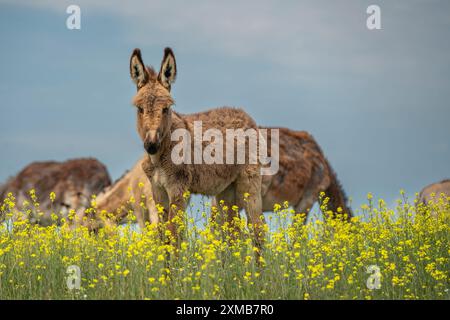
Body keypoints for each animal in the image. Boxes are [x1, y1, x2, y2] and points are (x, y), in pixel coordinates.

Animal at [128, 47, 266, 248]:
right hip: (226, 190)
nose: (151, 145)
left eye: (166, 108)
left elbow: (174, 235)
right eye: (140, 108)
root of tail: (245, 115)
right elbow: (163, 236)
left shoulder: (178, 188)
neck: (161, 155)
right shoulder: (158, 190)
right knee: (233, 232)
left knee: (257, 229)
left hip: (249, 182)